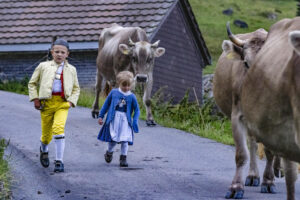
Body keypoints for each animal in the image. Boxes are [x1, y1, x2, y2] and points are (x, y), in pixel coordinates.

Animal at [213, 23, 284, 198]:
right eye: (245, 63)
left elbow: (270, 152)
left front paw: (268, 182)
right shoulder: (237, 116)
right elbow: (241, 154)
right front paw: (236, 187)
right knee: (252, 143)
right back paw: (253, 175)